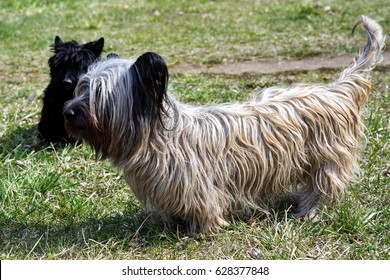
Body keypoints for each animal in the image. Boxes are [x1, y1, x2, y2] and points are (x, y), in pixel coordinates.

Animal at [63, 15, 384, 234]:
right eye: (82, 87)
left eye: (99, 95)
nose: (67, 112)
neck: (156, 134)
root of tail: (335, 90)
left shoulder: (198, 186)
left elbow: (205, 209)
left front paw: (200, 230)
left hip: (326, 158)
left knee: (325, 186)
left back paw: (309, 211)